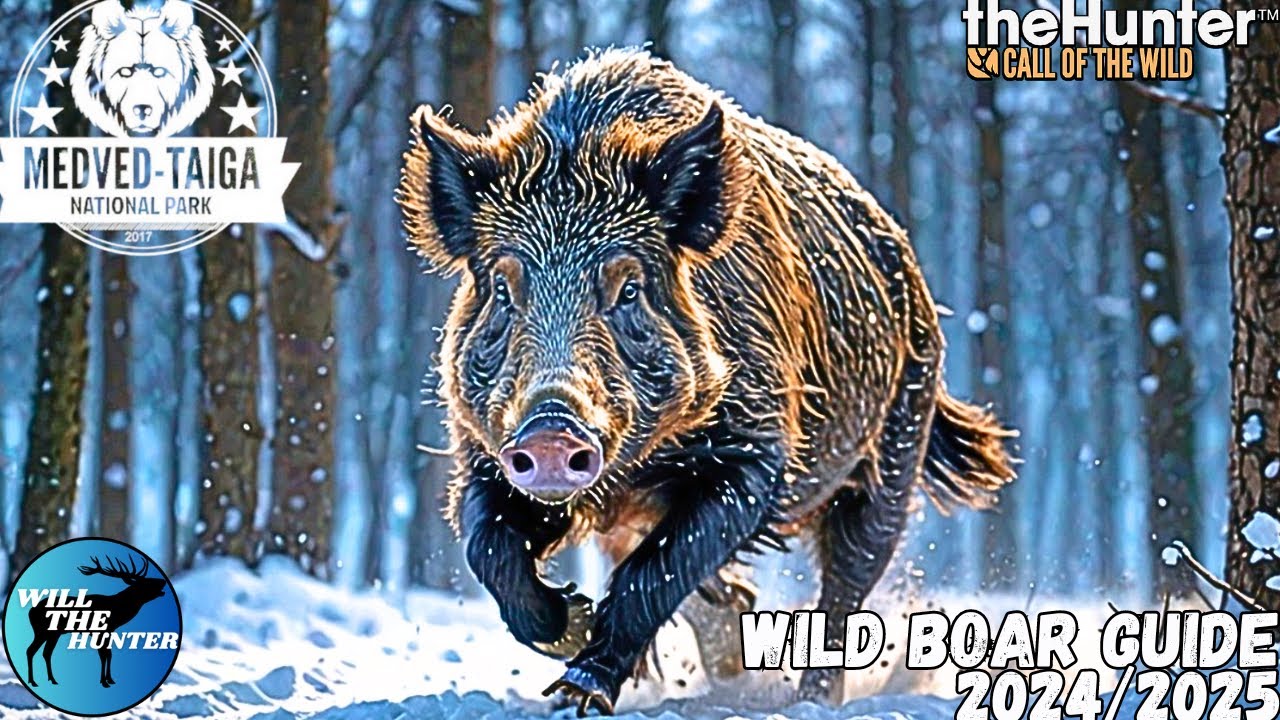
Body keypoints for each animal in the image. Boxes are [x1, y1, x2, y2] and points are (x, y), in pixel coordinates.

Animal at [397, 48, 1016, 715]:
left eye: (629, 288)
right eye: (503, 288)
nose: (551, 431)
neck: (635, 469)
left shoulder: (757, 454)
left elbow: (657, 571)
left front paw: (577, 692)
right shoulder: (481, 453)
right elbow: (488, 549)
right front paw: (574, 626)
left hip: (895, 452)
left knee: (846, 585)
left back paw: (811, 697)